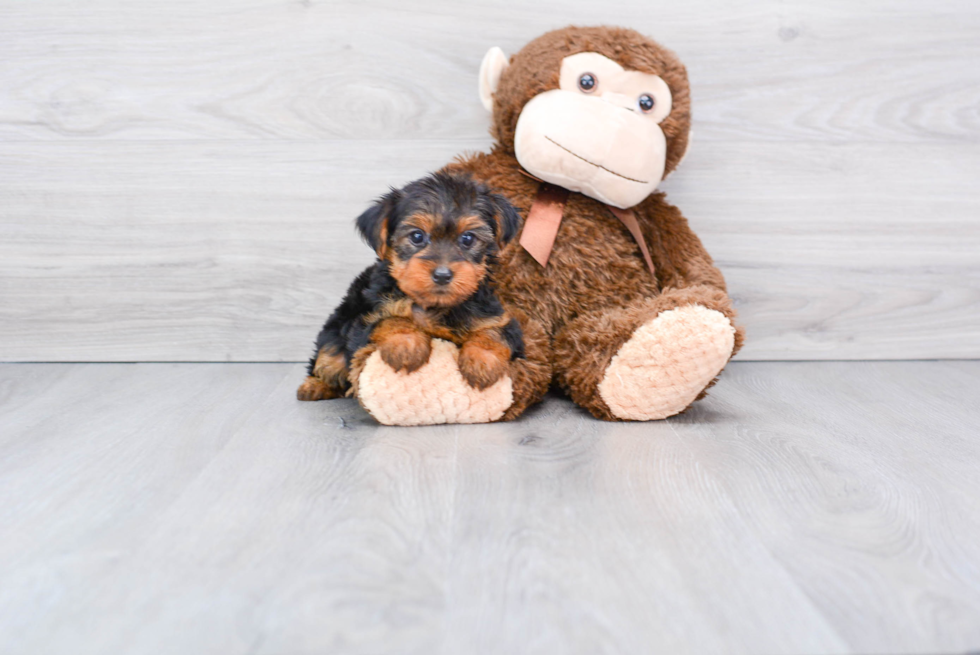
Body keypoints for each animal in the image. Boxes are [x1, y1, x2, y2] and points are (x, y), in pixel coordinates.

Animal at [296, 172, 524, 402]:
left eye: (467, 238)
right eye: (417, 236)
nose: (442, 275)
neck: (436, 306)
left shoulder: (499, 318)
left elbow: (494, 332)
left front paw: (482, 363)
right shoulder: (366, 319)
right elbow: (390, 319)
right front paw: (406, 345)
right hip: (339, 325)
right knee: (329, 356)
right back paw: (314, 385)